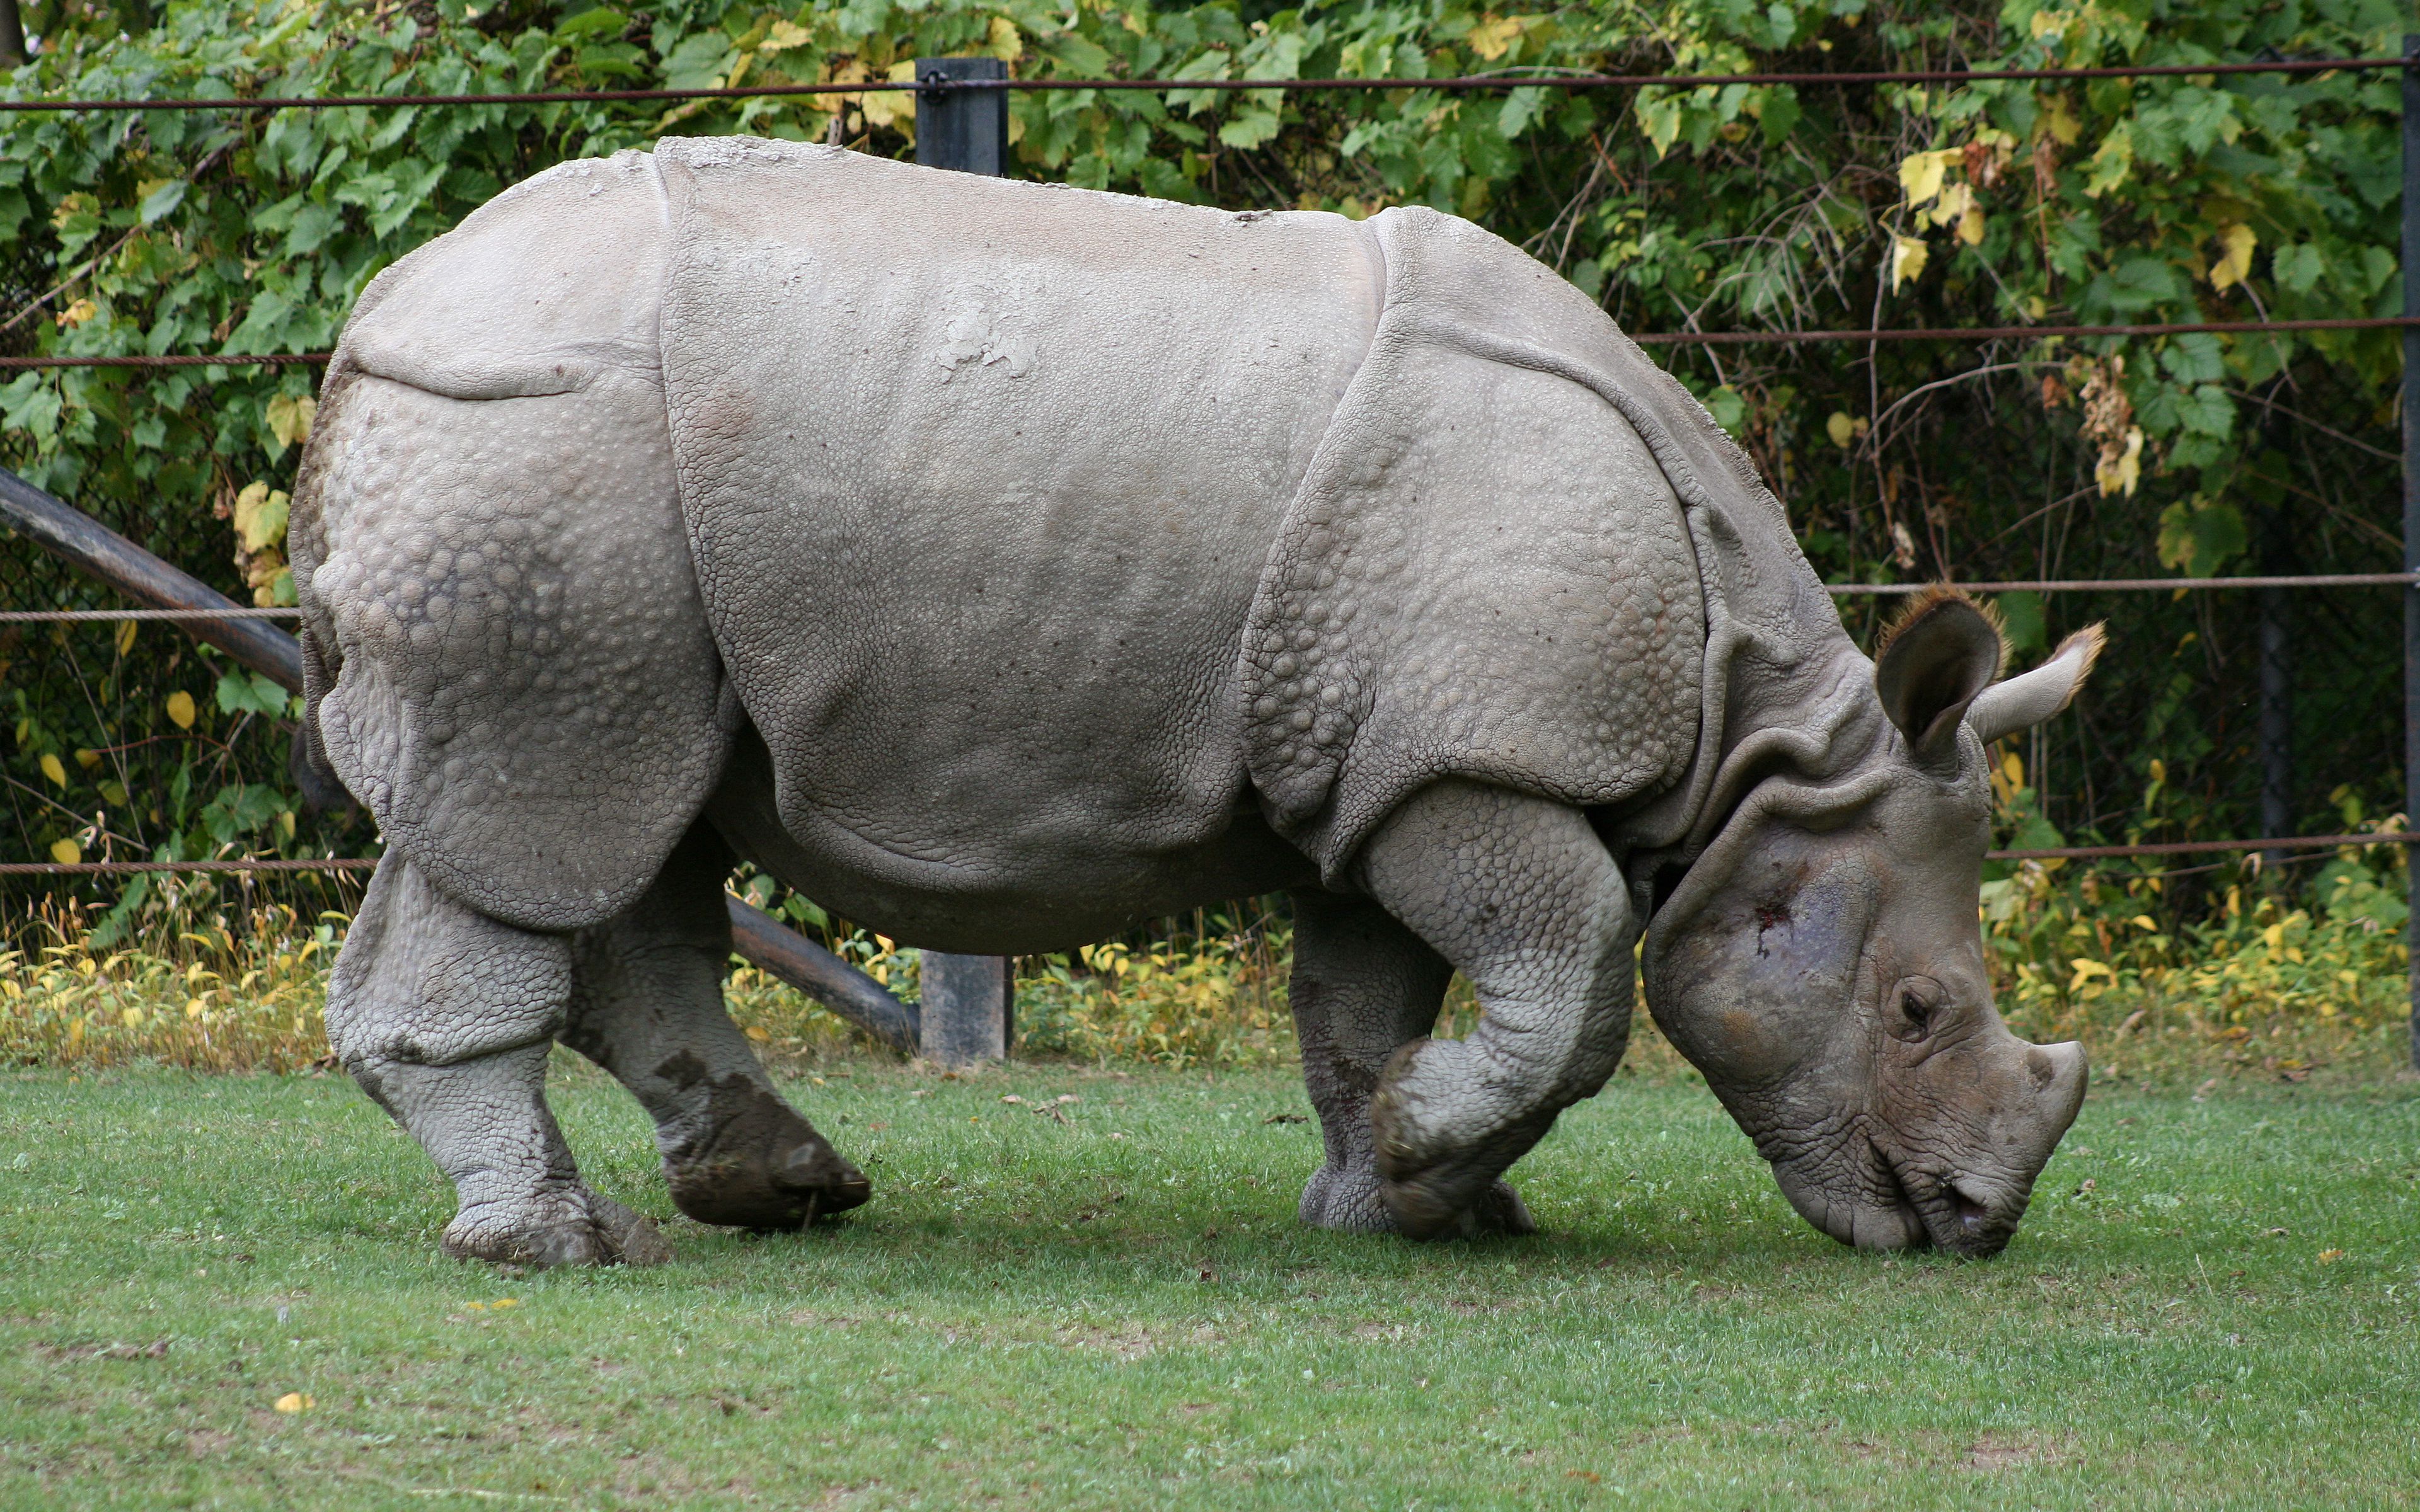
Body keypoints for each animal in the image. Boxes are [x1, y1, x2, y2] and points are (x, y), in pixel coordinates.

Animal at [289, 138, 2098, 1267]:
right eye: (1916, 1011)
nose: (1974, 1224)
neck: (1755, 736)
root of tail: (378, 316)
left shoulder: (1380, 760)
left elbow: (1361, 1002)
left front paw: (1402, 1191)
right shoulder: (1468, 757)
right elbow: (1576, 970)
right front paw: (1432, 1163)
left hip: (573, 507)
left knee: (626, 825)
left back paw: (780, 1187)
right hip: (537, 463)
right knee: (546, 810)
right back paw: (561, 1244)